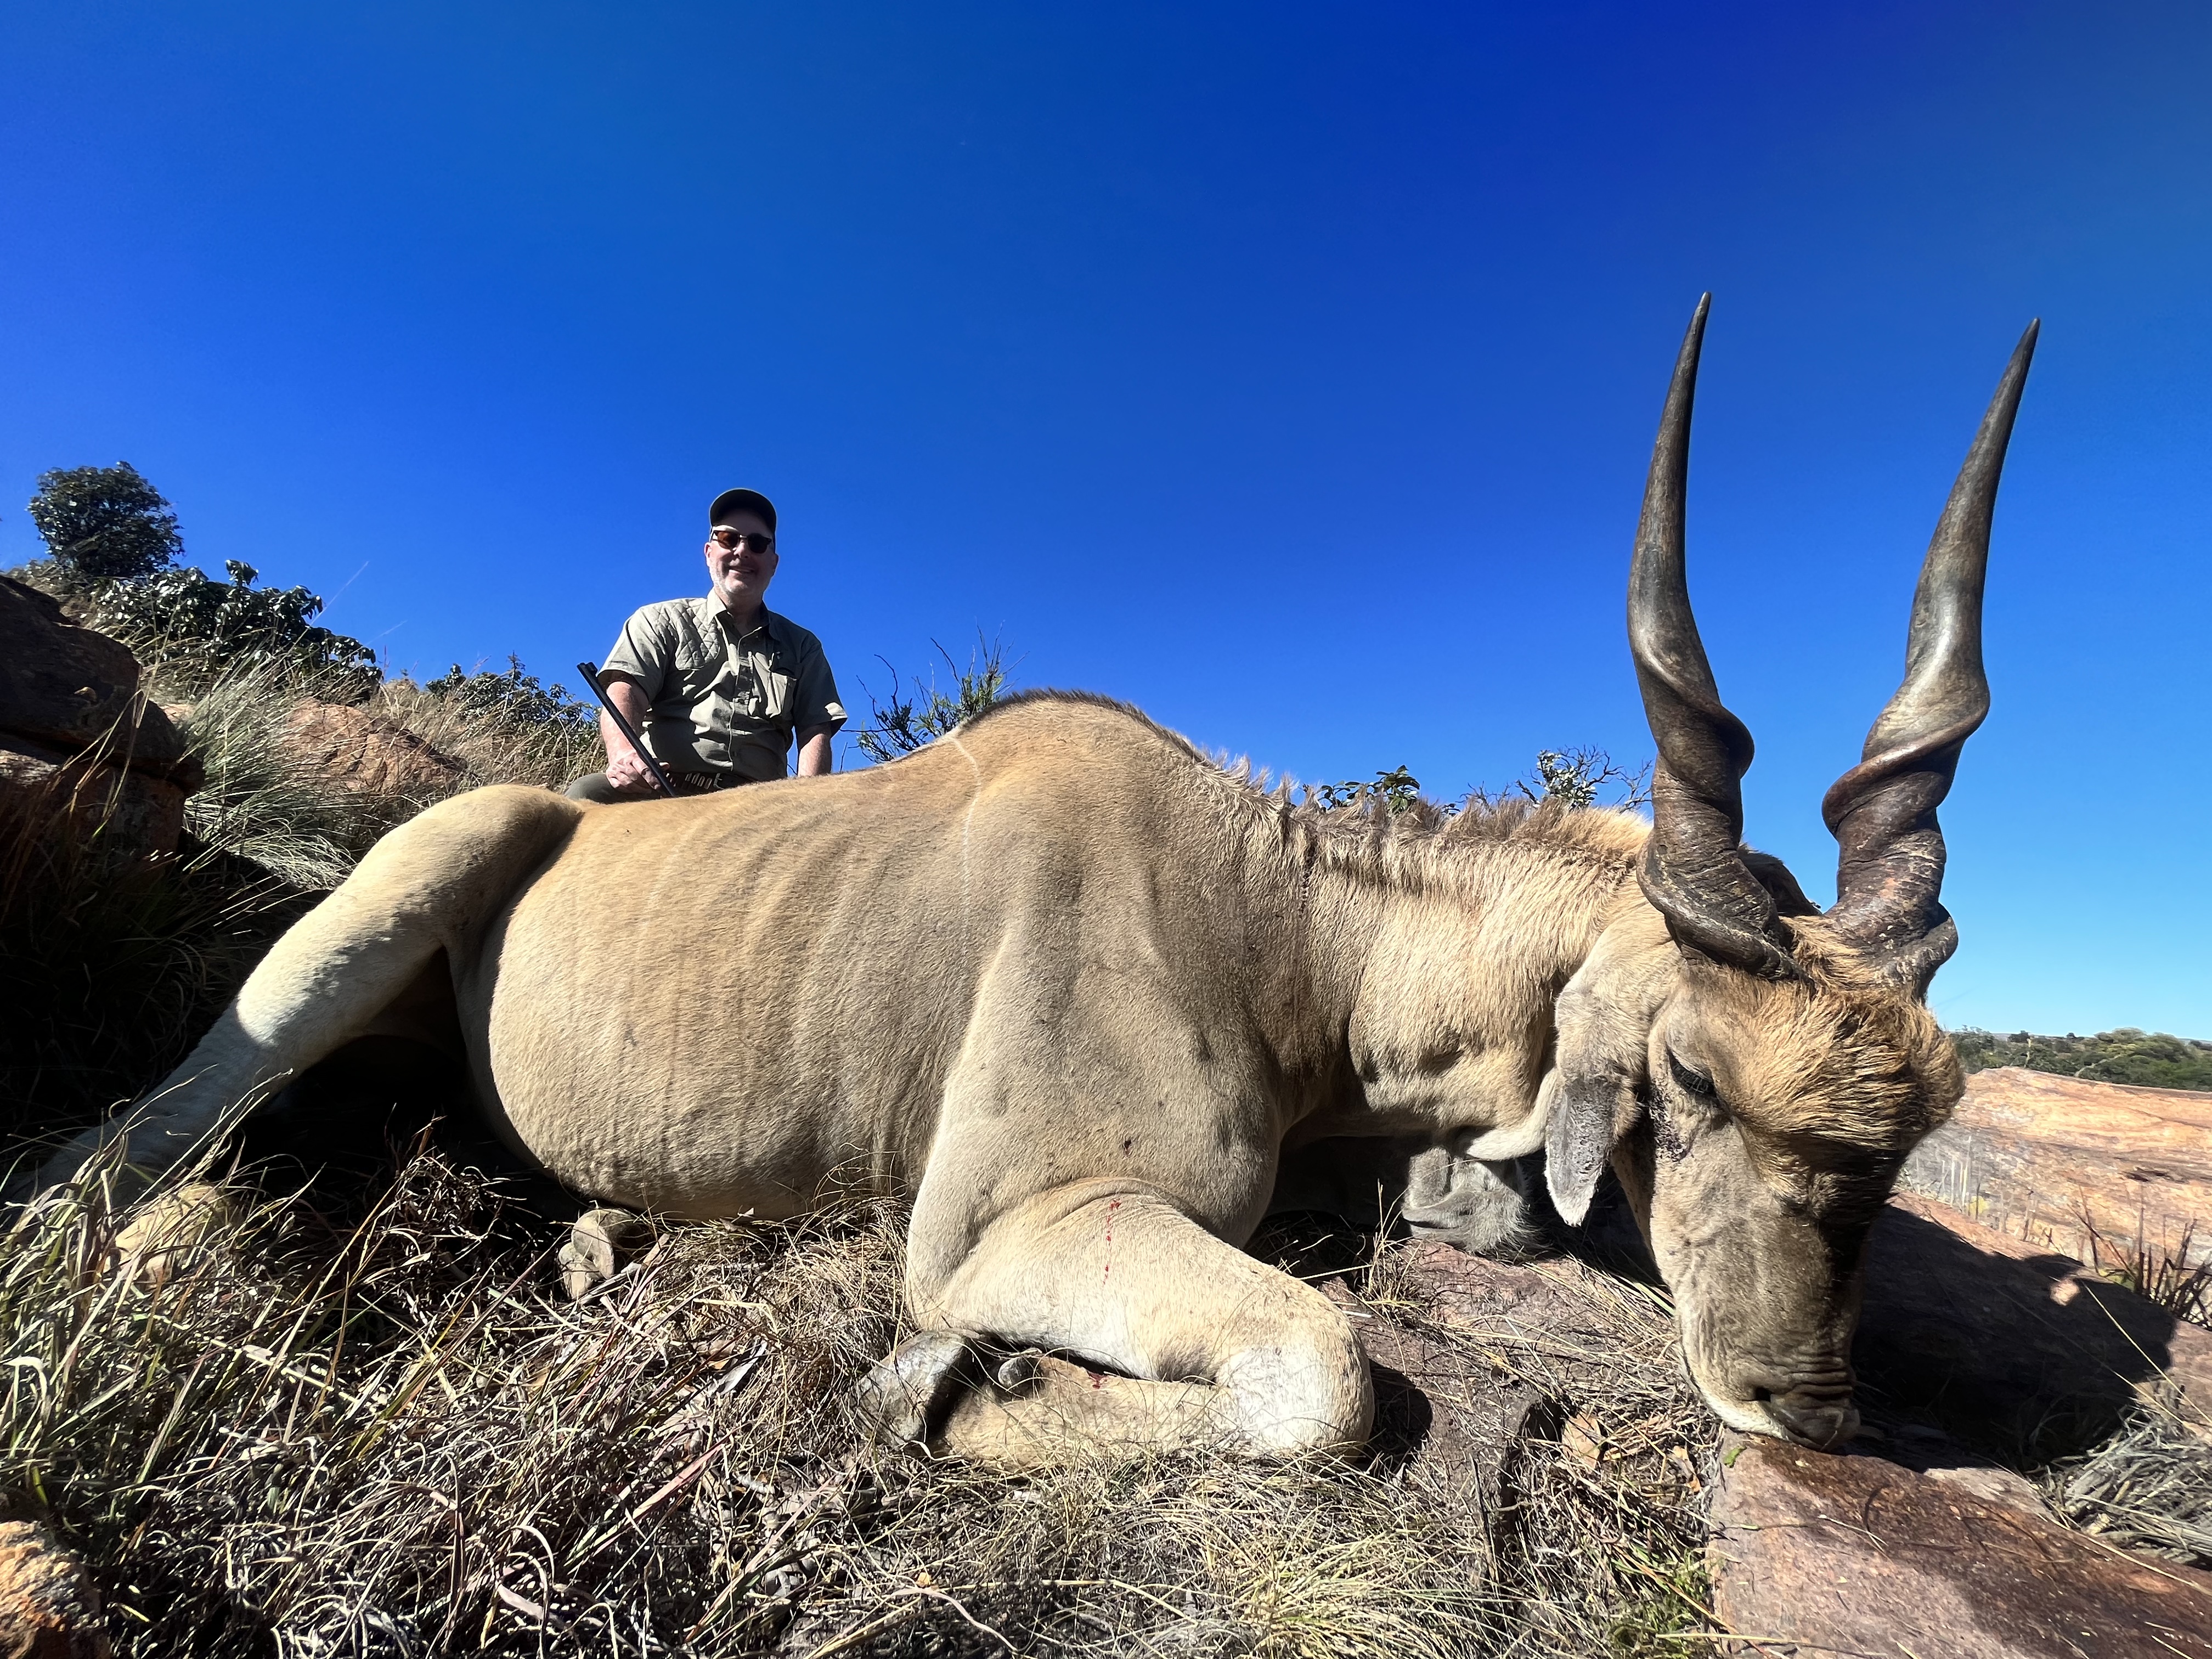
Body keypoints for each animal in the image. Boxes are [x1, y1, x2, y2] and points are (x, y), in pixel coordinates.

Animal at [35, 299, 2035, 1463]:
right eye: (1689, 1072)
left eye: (1923, 1117)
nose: (1810, 1406)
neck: (1282, 933)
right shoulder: (1006, 1225)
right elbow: (1324, 1382)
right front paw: (943, 1387)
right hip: (387, 904)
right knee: (126, 1139)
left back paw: (613, 1239)